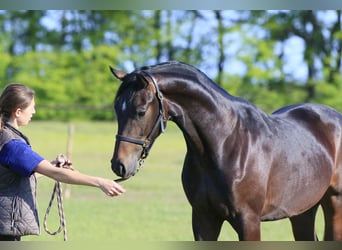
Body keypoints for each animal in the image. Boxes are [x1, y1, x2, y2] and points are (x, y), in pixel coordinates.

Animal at [109, 60, 342, 240]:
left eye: (140, 111)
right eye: (117, 108)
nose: (119, 165)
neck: (224, 145)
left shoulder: (249, 221)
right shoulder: (203, 218)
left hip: (334, 204)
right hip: (303, 210)